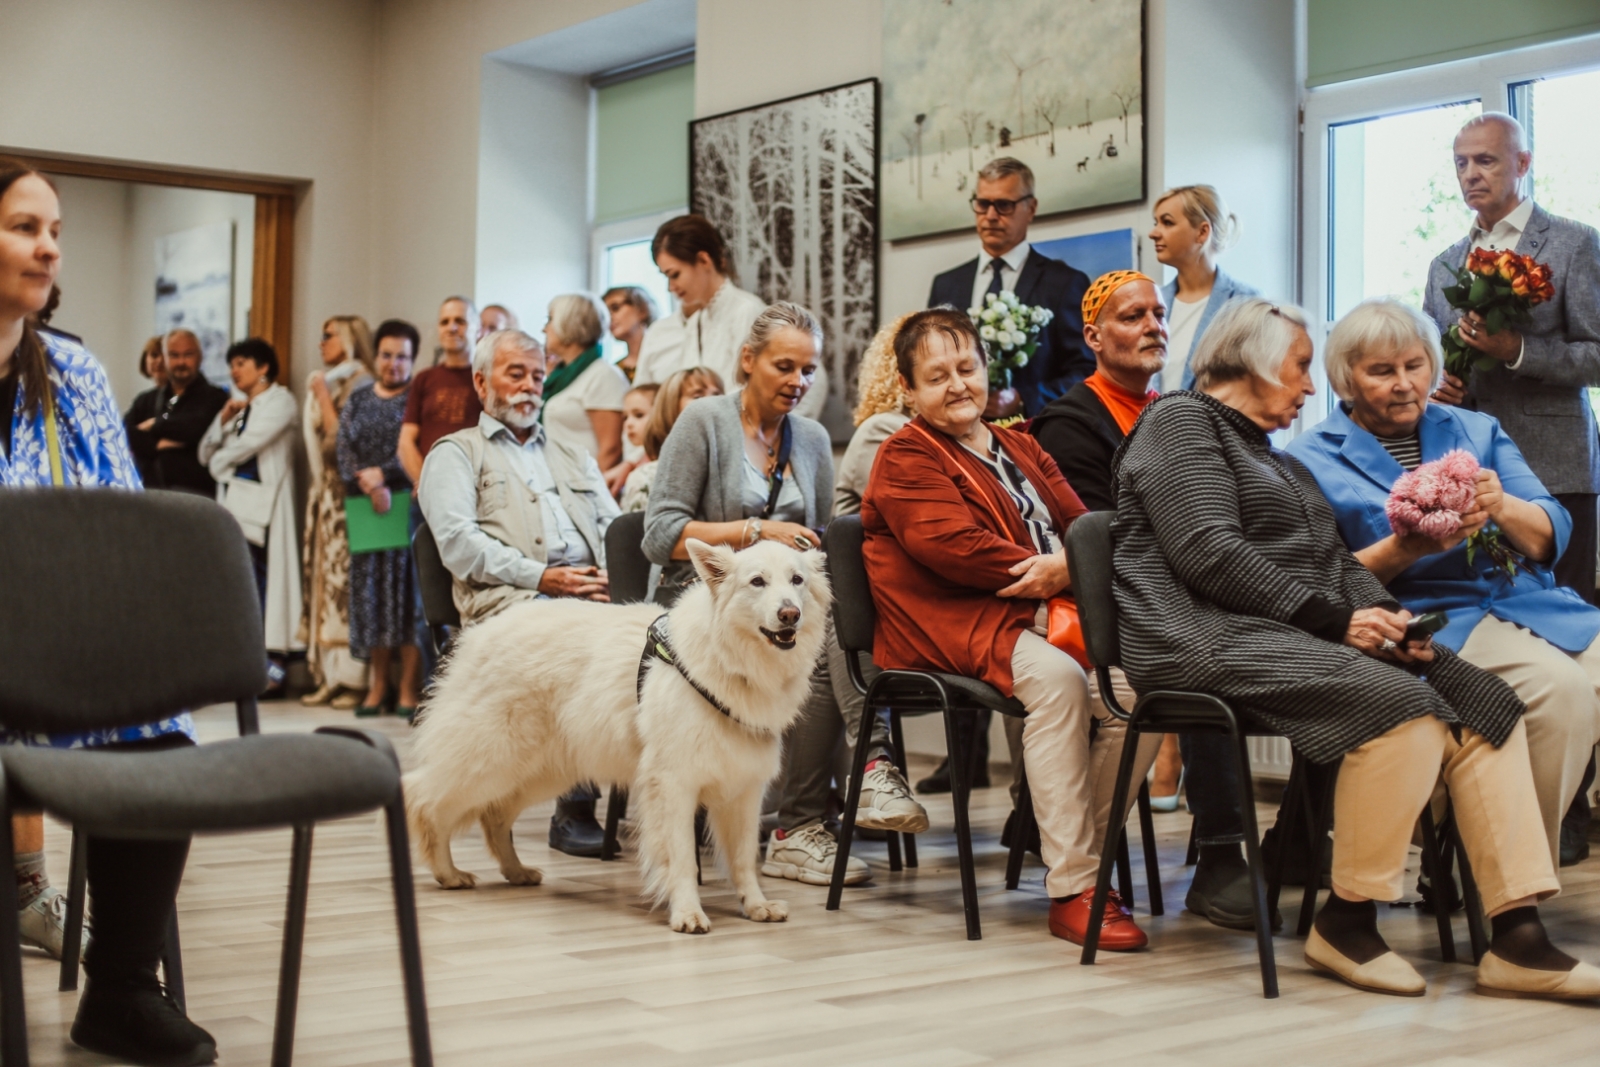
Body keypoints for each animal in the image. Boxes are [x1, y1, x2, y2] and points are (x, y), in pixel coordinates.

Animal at [400, 537, 832, 927]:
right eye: (757, 581)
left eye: (797, 580)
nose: (790, 614)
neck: (726, 660)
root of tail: (476, 633)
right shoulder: (673, 786)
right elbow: (681, 857)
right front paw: (687, 912)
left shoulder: (743, 790)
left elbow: (743, 860)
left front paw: (756, 905)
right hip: (488, 760)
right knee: (424, 800)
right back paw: (447, 873)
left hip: (541, 771)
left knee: (494, 816)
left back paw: (516, 871)